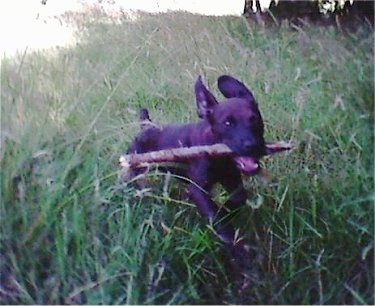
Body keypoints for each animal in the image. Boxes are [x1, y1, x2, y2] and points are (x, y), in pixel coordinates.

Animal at [127, 76, 274, 246]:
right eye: (227, 123)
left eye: (255, 119)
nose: (253, 145)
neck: (221, 159)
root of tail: (146, 127)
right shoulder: (197, 188)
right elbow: (214, 215)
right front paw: (230, 239)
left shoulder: (232, 179)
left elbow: (238, 198)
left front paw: (225, 211)